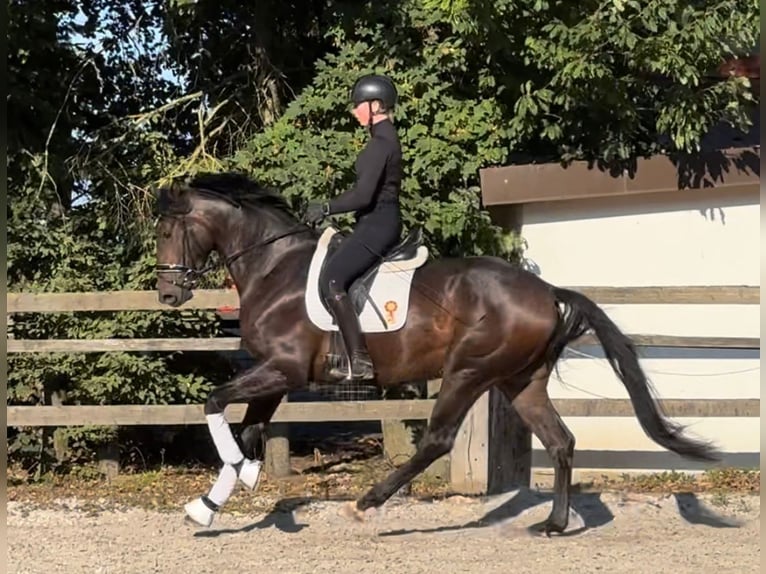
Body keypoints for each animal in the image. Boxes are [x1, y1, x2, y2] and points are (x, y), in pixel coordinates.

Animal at [154, 171, 720, 536]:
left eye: (166, 230)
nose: (167, 295)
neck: (274, 268)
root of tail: (545, 291)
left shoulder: (282, 370)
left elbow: (214, 404)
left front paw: (232, 484)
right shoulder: (277, 375)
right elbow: (248, 430)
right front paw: (210, 505)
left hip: (468, 370)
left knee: (438, 440)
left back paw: (366, 504)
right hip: (521, 381)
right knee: (560, 441)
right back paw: (555, 524)